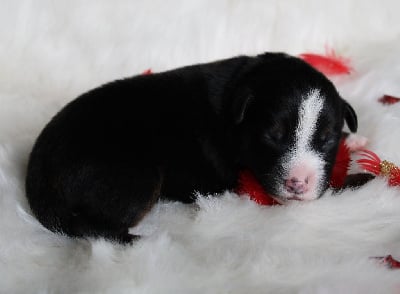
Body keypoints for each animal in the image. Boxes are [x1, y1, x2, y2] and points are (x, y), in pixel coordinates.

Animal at [25, 52, 360, 243]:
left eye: (326, 139)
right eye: (272, 136)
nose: (298, 184)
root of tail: (38, 177)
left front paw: (353, 140)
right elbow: (338, 184)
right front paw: (361, 176)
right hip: (137, 178)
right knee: (95, 228)